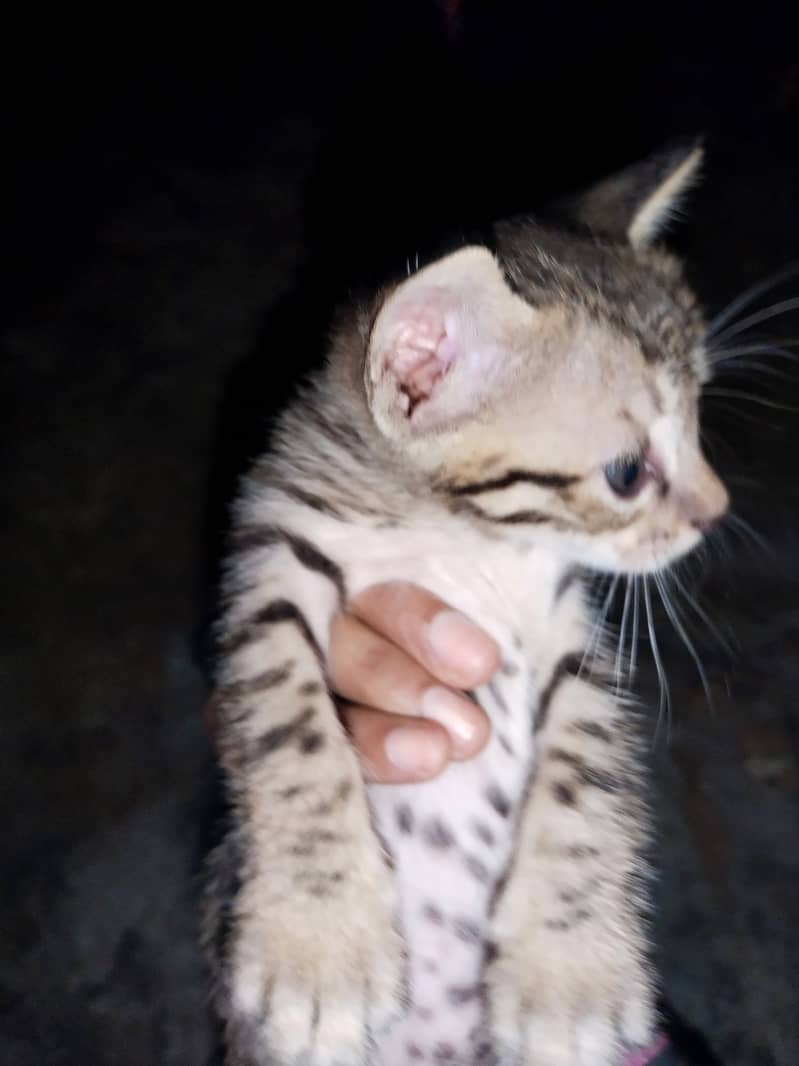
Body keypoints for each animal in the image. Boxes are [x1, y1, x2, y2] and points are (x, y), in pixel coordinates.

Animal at [203, 143, 728, 1066]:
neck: (453, 532)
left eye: (698, 424)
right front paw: (317, 944)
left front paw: (571, 978)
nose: (717, 509)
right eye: (626, 472)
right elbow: (288, 724)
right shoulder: (272, 555)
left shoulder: (567, 635)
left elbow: (584, 778)